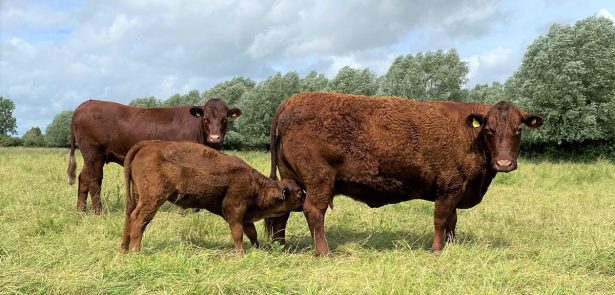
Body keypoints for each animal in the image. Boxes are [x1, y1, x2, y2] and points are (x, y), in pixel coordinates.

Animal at [67, 99, 241, 215]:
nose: (215, 138)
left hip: (89, 156)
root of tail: (84, 105)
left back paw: (81, 211)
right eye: (206, 118)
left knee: (84, 178)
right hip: (94, 153)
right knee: (94, 181)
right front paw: (186, 211)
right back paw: (98, 212)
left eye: (224, 119)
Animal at [120, 140, 306, 254]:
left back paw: (124, 250)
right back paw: (135, 251)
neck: (255, 184)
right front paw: (240, 254)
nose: (305, 199)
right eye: (298, 193)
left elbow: (252, 234)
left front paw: (258, 249)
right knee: (139, 219)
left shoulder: (245, 216)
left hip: (137, 197)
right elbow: (238, 233)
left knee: (129, 217)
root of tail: (147, 145)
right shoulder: (235, 211)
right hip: (152, 199)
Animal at [268, 93, 544, 256]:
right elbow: (440, 220)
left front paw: (451, 246)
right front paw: (437, 250)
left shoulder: (455, 190)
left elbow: (452, 221)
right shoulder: (449, 187)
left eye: (518, 129)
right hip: (319, 179)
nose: (504, 162)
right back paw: (324, 252)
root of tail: (292, 100)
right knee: (314, 211)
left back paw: (280, 246)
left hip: (291, 178)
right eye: (489, 129)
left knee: (283, 213)